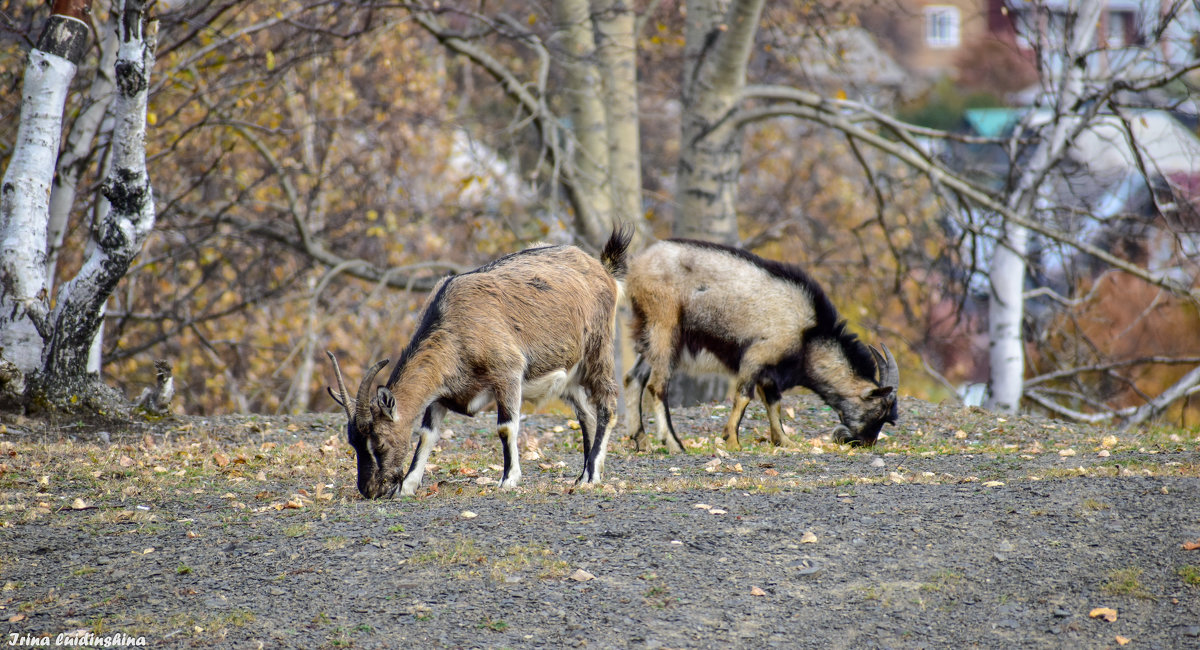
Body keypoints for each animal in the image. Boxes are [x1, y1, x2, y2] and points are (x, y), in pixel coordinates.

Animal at [324, 226, 633, 501]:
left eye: (378, 441)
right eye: (353, 443)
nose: (370, 490)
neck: (454, 323)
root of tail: (603, 269)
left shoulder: (507, 372)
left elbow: (506, 426)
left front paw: (508, 479)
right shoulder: (442, 392)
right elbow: (427, 434)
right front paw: (408, 485)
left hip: (598, 349)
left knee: (607, 403)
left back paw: (592, 475)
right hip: (568, 378)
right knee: (585, 415)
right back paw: (583, 475)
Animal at [624, 239, 897, 453]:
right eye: (880, 410)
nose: (865, 443)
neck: (808, 335)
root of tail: (637, 266)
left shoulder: (770, 371)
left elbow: (774, 402)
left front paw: (784, 441)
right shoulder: (757, 355)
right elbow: (744, 395)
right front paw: (732, 441)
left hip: (649, 334)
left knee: (633, 377)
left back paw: (642, 441)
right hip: (665, 326)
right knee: (657, 385)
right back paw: (673, 443)